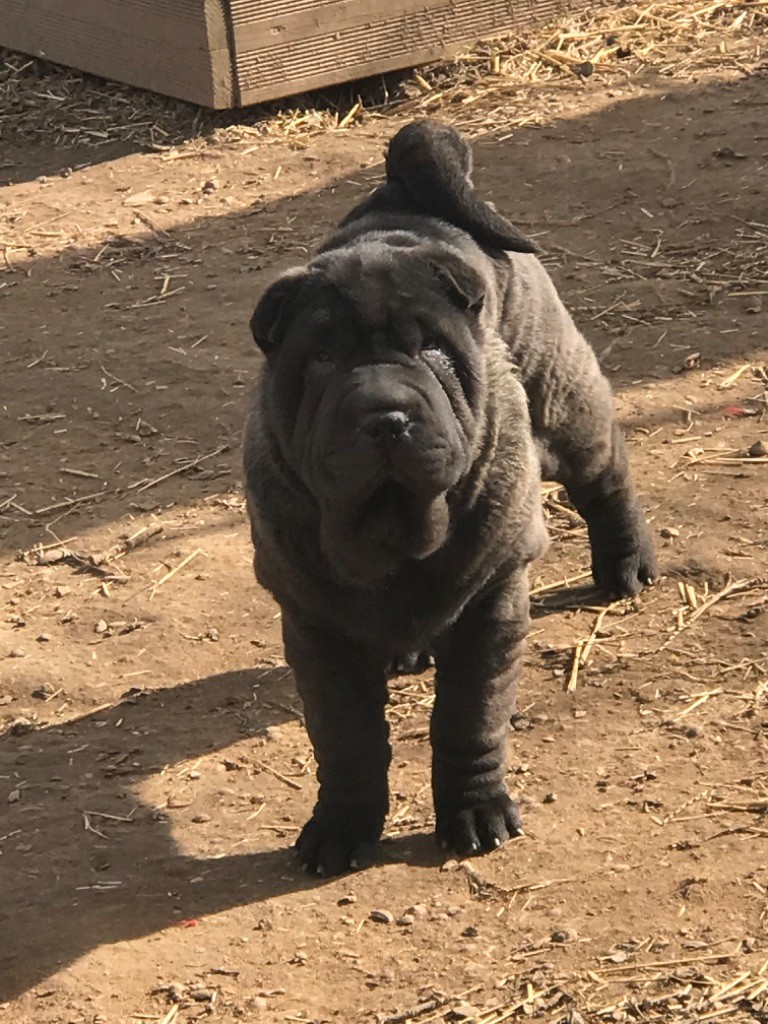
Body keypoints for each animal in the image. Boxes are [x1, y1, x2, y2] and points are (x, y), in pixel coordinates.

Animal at [243, 117, 659, 872]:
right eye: (320, 360)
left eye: (431, 351)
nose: (385, 414)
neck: (393, 531)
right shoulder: (314, 625)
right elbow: (345, 739)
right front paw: (341, 825)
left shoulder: (491, 604)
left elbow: (468, 720)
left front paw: (475, 810)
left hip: (563, 401)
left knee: (605, 476)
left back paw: (626, 566)